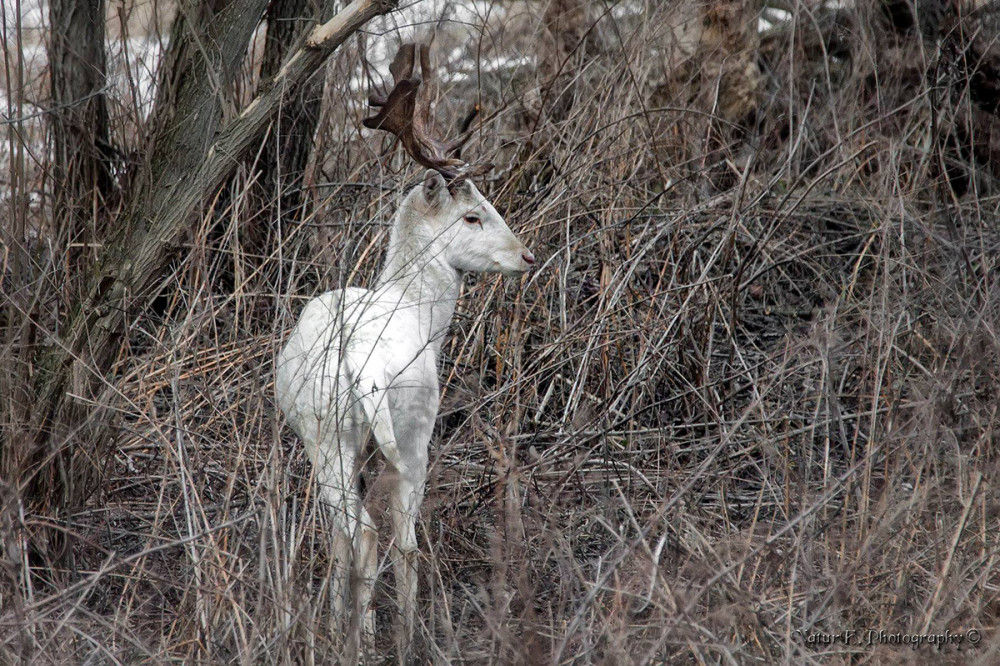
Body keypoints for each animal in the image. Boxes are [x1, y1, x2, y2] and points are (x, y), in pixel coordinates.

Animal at [274, 44, 536, 656]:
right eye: (473, 215)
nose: (526, 256)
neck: (419, 311)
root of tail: (363, 365)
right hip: (413, 422)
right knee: (399, 536)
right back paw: (400, 637)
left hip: (327, 429)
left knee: (356, 535)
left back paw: (350, 639)